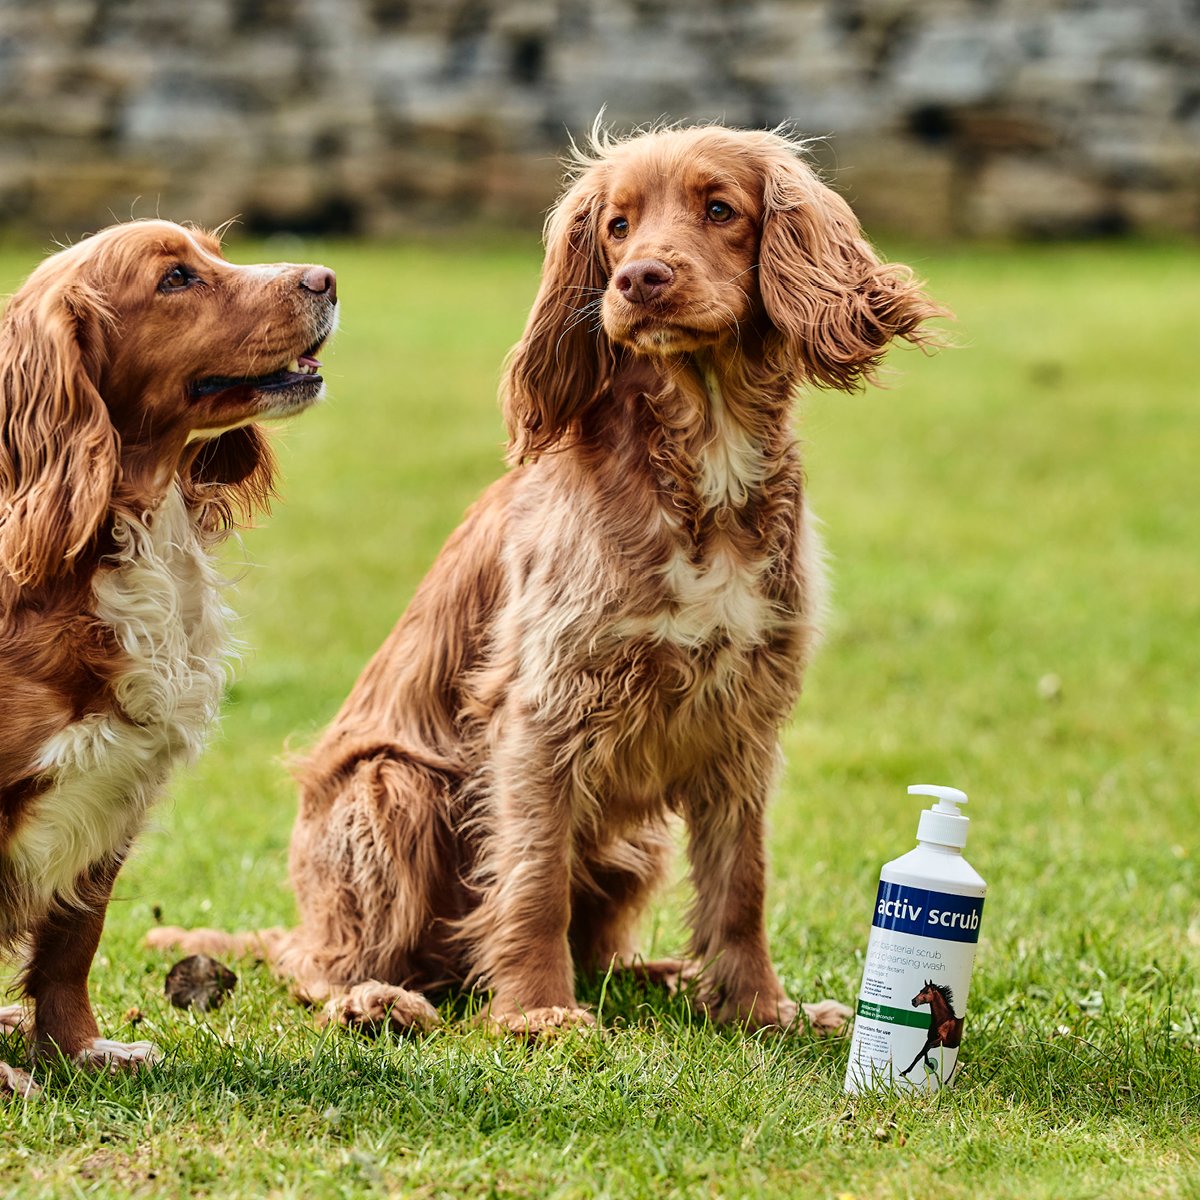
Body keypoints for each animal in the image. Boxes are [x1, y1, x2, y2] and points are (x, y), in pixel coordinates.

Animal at [1, 216, 338, 1080]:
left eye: (215, 252)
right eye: (176, 279)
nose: (325, 278)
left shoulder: (117, 785)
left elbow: (72, 943)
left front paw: (81, 1049)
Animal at [147, 126, 936, 1036]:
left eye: (719, 209)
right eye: (618, 227)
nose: (639, 280)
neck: (704, 463)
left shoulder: (745, 718)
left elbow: (741, 884)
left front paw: (759, 1008)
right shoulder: (543, 708)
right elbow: (533, 878)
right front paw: (536, 1012)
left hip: (636, 844)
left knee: (604, 950)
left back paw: (660, 976)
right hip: (393, 787)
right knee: (317, 964)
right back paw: (377, 1000)